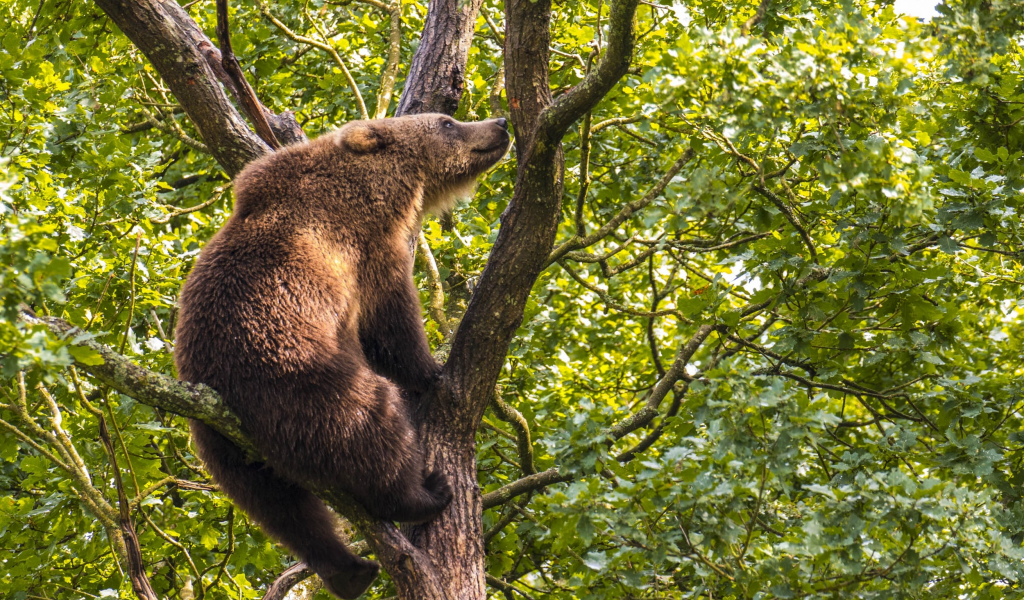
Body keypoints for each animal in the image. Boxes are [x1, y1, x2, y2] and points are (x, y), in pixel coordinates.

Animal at [175, 113, 512, 597]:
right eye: (447, 122)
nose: (500, 122)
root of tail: (227, 392)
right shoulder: (368, 249)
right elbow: (389, 322)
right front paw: (431, 371)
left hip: (220, 442)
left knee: (279, 507)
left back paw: (350, 571)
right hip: (306, 378)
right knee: (371, 427)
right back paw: (425, 493)